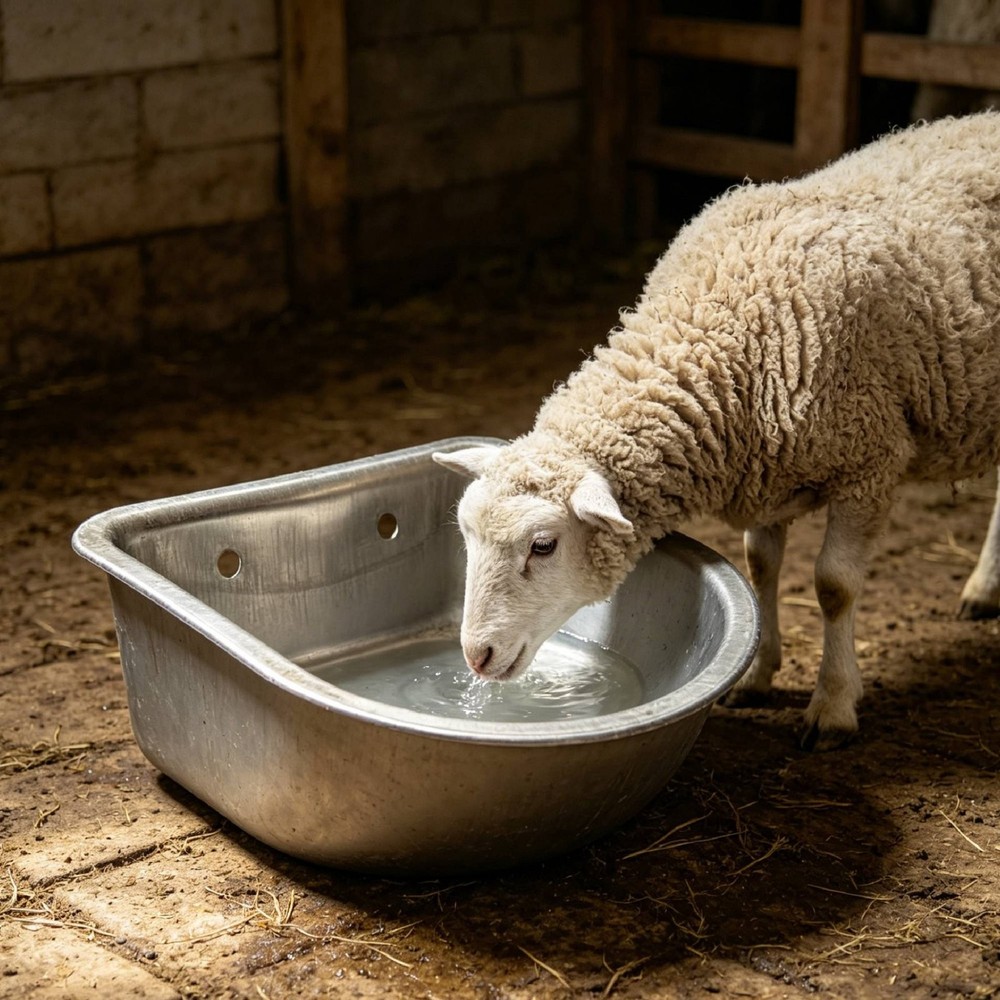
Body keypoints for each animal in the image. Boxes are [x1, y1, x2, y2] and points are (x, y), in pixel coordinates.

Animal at [433, 111, 1000, 751]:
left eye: (544, 546)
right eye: (466, 534)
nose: (476, 657)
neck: (723, 324)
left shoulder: (870, 461)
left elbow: (833, 586)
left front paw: (832, 705)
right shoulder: (770, 469)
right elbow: (760, 567)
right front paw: (757, 674)